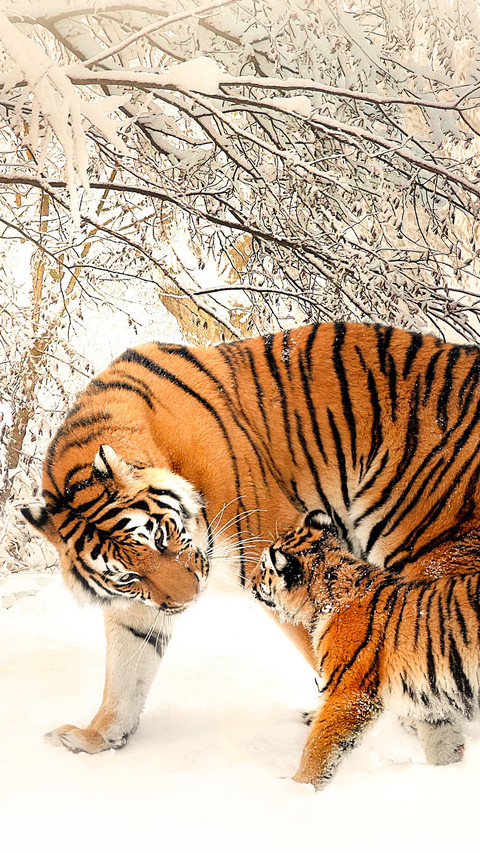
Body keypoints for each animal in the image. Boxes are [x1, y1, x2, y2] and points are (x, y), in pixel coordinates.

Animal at [22, 321, 480, 755]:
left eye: (162, 538)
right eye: (128, 577)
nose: (189, 599)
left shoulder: (278, 552)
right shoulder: (139, 605)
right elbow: (125, 669)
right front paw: (96, 736)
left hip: (433, 550)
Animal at [250, 511, 480, 789]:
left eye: (264, 568)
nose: (250, 581)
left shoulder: (348, 693)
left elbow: (318, 747)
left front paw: (296, 787)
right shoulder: (431, 705)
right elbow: (443, 745)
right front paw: (446, 773)